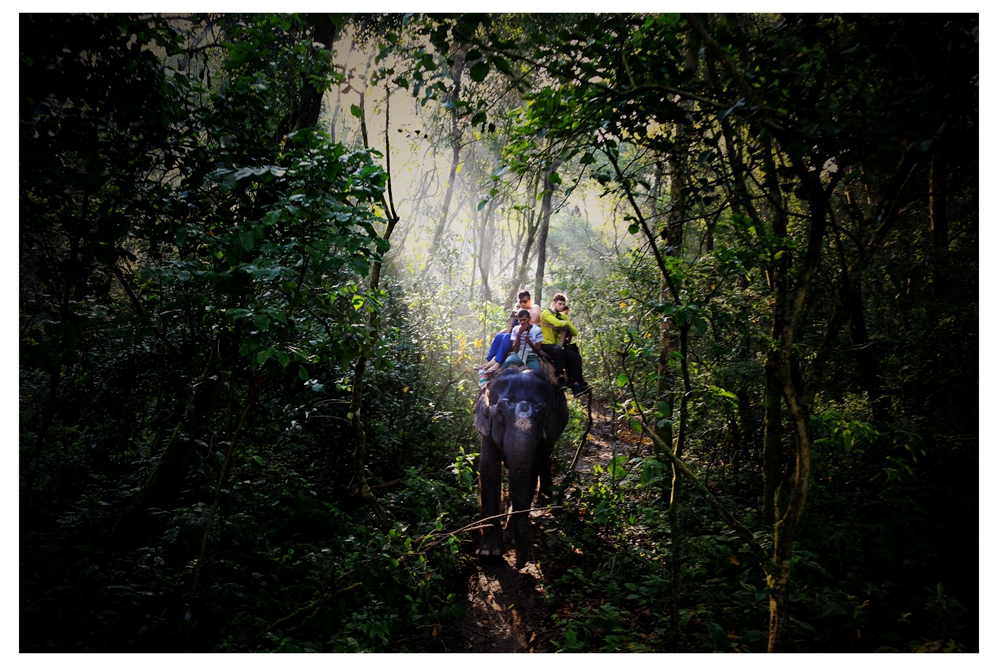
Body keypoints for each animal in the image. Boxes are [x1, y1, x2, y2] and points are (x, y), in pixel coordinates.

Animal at [472, 364, 568, 564]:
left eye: (543, 414)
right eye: (499, 413)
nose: (518, 563)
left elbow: (530, 472)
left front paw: (510, 537)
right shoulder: (486, 428)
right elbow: (488, 469)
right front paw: (489, 553)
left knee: (546, 459)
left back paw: (544, 501)